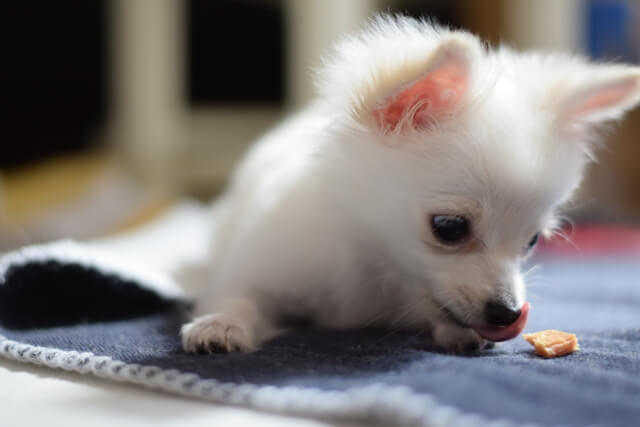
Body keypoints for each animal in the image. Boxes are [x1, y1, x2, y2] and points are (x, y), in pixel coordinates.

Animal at [179, 15, 640, 352]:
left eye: (531, 242)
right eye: (449, 228)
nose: (509, 313)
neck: (374, 265)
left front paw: (458, 333)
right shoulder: (258, 267)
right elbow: (239, 296)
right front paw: (221, 325)